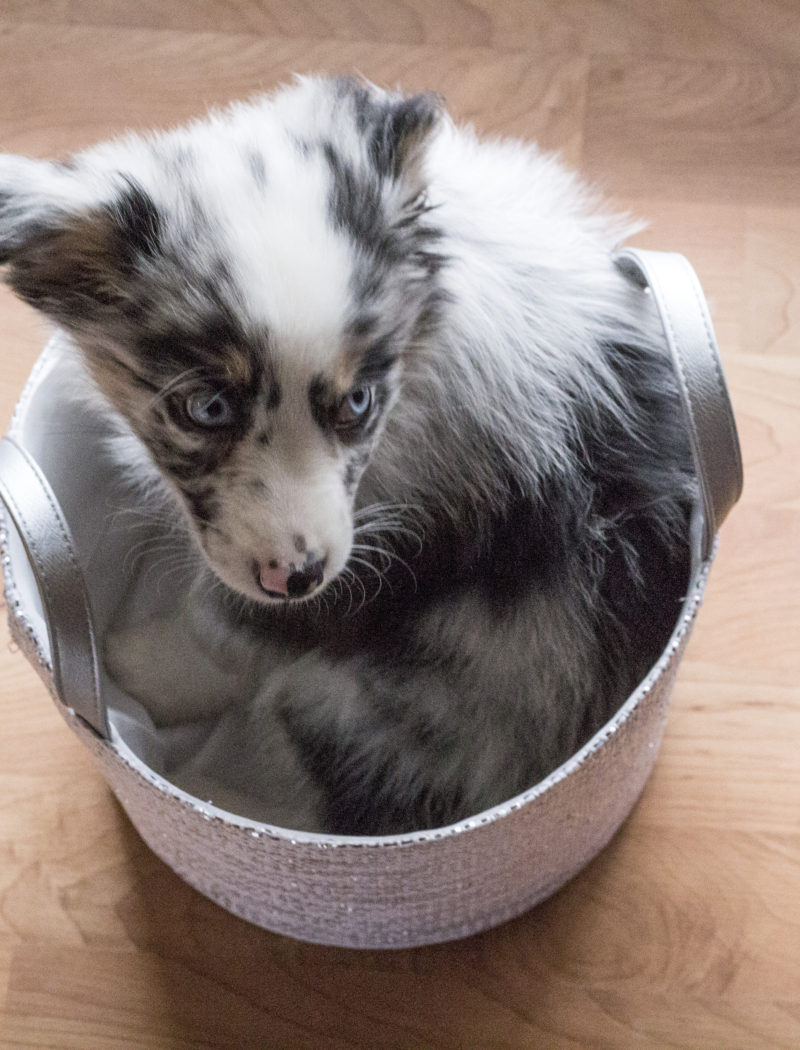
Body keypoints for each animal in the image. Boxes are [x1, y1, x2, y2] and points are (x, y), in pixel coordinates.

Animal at [0, 76, 692, 835]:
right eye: (207, 409)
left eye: (359, 401)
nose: (298, 574)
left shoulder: (394, 558)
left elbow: (226, 628)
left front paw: (143, 668)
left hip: (373, 709)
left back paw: (231, 806)